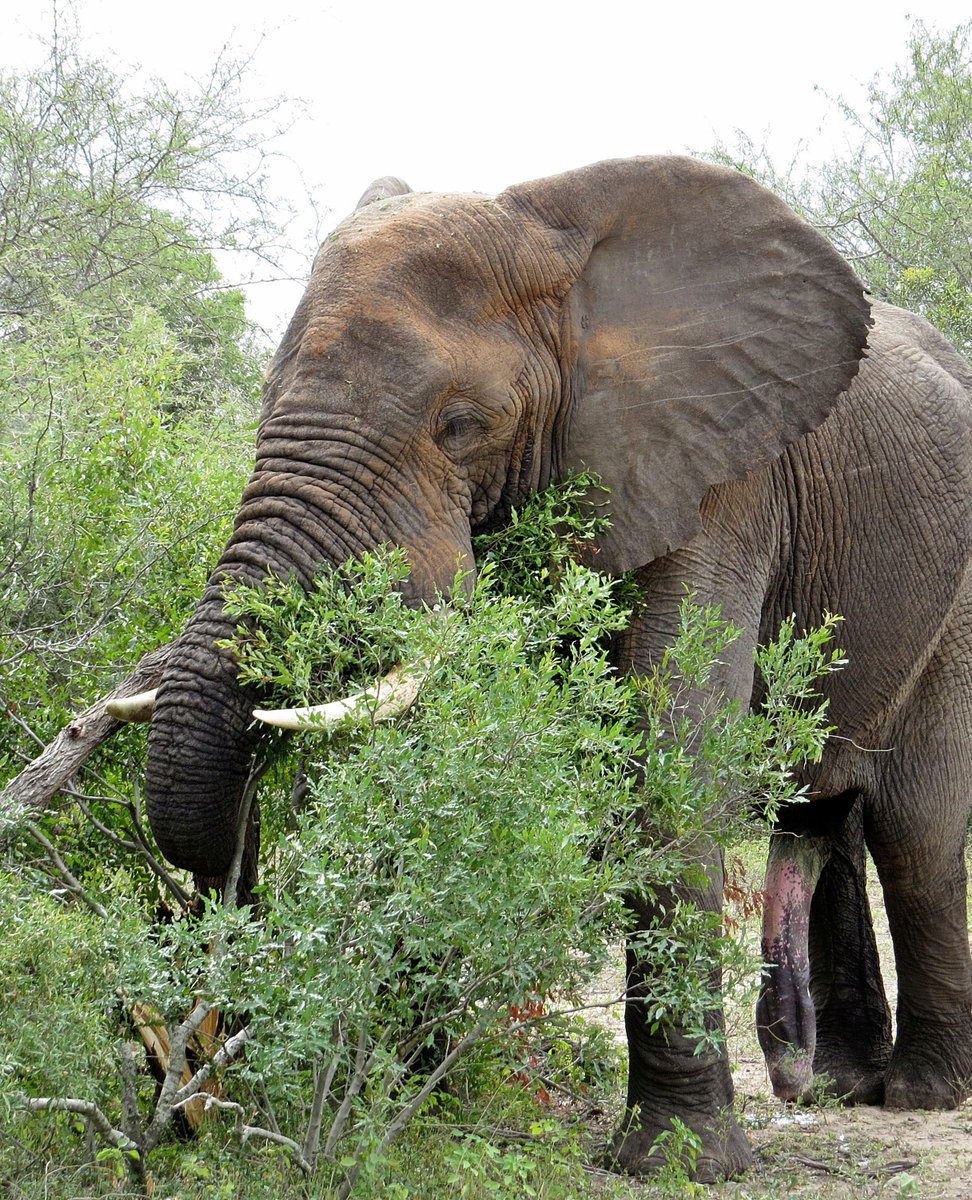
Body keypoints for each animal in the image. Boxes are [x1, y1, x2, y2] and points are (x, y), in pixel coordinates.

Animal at [136, 152, 969, 1180]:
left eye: (460, 425)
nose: (199, 1057)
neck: (567, 258)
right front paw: (416, 1100)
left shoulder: (720, 482)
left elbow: (671, 767)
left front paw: (678, 1163)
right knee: (823, 814)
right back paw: (838, 1085)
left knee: (917, 831)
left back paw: (923, 1093)